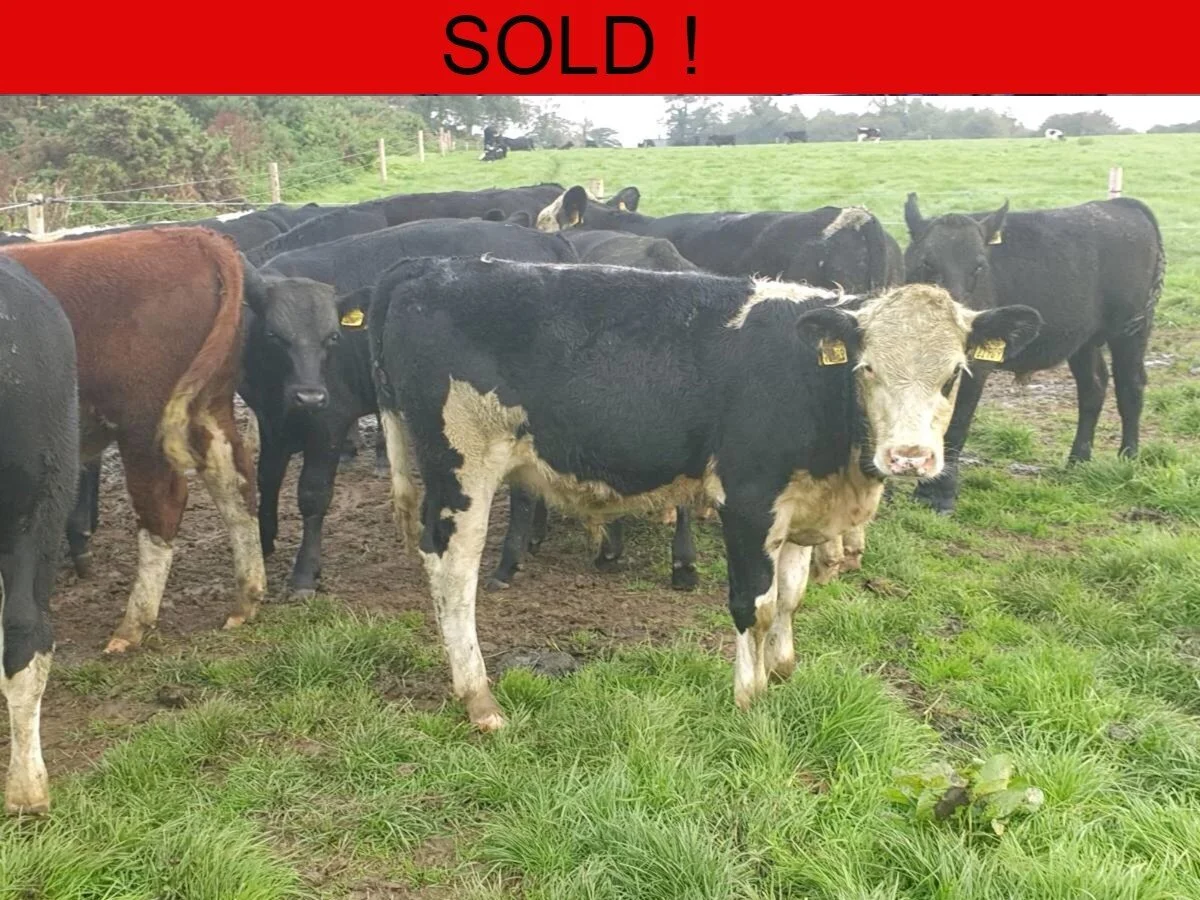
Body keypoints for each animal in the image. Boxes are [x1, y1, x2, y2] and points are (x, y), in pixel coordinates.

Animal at [2, 228, 266, 654]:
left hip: (144, 421)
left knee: (163, 505)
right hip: (210, 404)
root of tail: (191, 236)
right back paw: (245, 600)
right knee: (235, 483)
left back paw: (132, 626)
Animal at [250, 221, 580, 598]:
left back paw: (507, 563)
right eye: (273, 335)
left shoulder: (329, 422)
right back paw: (534, 539)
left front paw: (304, 574)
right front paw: (264, 543)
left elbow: (312, 494)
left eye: (332, 337)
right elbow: (266, 478)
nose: (309, 395)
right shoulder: (271, 423)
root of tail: (546, 240)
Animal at [367, 257, 1042, 730]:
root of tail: (426, 266)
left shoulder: (801, 507)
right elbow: (755, 604)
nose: (909, 456)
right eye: (867, 368)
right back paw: (480, 700)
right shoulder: (747, 500)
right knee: (452, 572)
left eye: (953, 374)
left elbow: (792, 595)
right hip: (462, 468)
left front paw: (784, 667)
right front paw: (751, 696)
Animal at [902, 193, 1165, 514]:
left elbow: (958, 424)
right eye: (927, 263)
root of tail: (1120, 204)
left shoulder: (979, 361)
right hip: (1083, 339)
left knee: (1130, 386)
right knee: (1093, 385)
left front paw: (940, 494)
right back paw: (1077, 461)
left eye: (979, 267)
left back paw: (1127, 458)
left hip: (1131, 328)